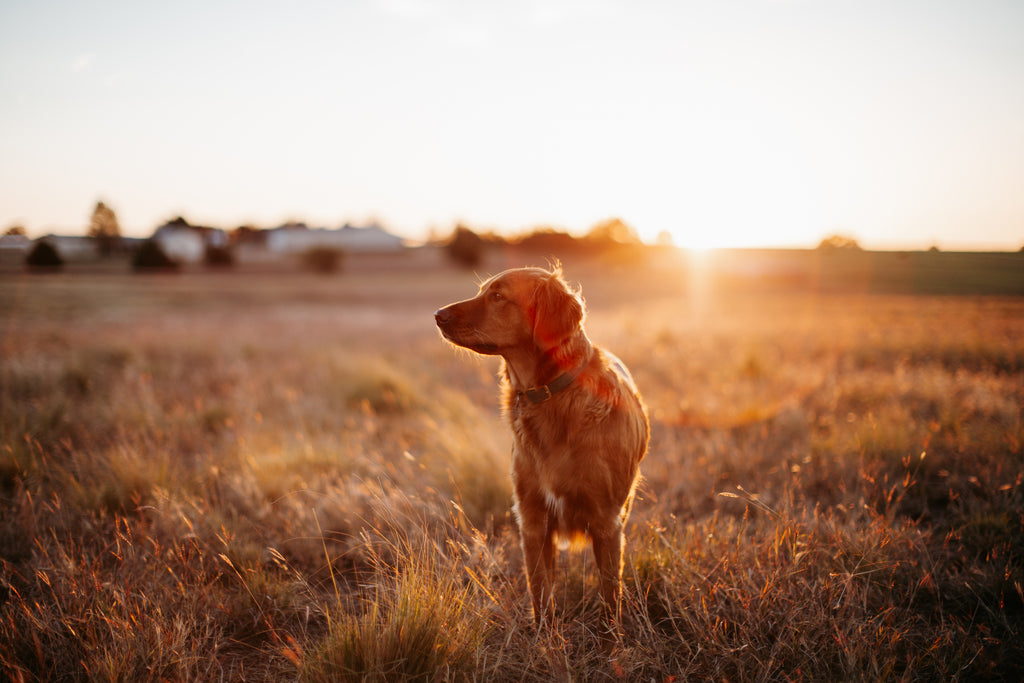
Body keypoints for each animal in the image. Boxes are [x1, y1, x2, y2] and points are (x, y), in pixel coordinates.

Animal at [434, 264, 647, 626]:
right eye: (483, 291)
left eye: (497, 296)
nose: (437, 315)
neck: (550, 396)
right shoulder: (532, 519)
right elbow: (541, 593)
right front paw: (544, 636)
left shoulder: (607, 522)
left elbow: (609, 597)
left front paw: (612, 641)